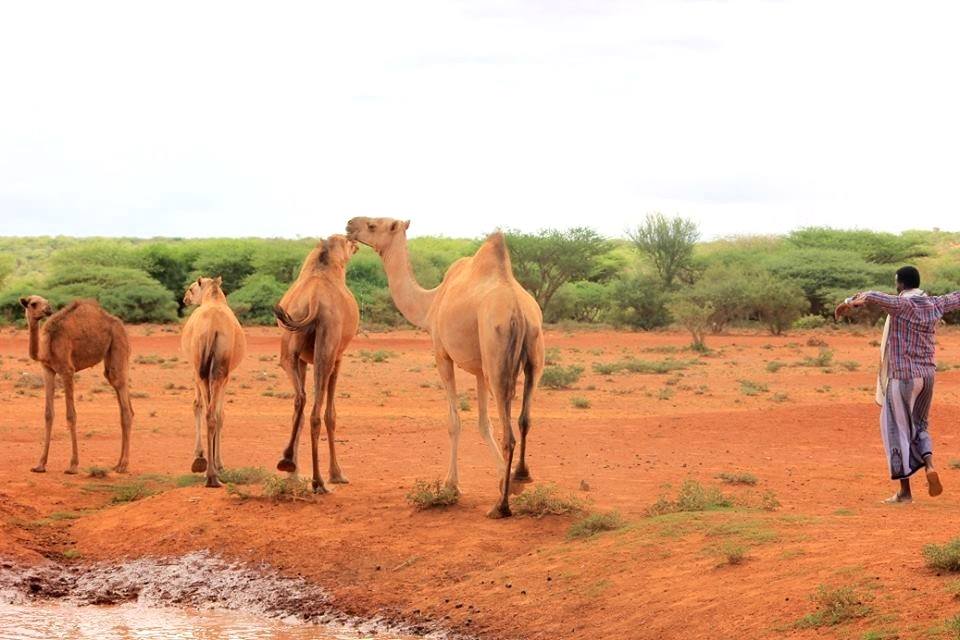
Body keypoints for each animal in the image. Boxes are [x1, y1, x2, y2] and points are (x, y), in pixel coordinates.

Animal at [20, 298, 135, 472]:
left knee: (123, 396)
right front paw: (40, 464)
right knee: (122, 402)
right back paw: (117, 463)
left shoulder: (67, 371)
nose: (48, 309)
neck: (48, 346)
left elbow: (71, 415)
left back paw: (123, 465)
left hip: (118, 343)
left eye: (46, 302)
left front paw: (73, 465)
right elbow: (48, 414)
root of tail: (118, 322)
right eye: (33, 303)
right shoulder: (48, 369)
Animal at [181, 278, 248, 488]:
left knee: (208, 412)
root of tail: (212, 328)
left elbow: (203, 407)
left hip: (203, 370)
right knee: (212, 413)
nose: (185, 299)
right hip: (217, 372)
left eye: (191, 288)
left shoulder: (201, 371)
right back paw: (212, 474)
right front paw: (217, 462)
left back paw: (209, 473)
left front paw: (202, 457)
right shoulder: (225, 376)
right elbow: (220, 414)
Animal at [274, 238, 360, 492]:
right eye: (347, 241)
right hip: (327, 349)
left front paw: (293, 473)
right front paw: (337, 474)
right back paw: (319, 481)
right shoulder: (338, 357)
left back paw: (287, 462)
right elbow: (331, 415)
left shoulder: (302, 359)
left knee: (300, 399)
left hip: (289, 350)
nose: (355, 242)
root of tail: (312, 301)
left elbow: (299, 412)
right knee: (315, 413)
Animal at [344, 218, 544, 516]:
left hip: (498, 357)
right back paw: (521, 477)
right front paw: (504, 480)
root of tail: (519, 310)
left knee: (509, 433)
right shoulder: (479, 368)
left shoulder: (442, 354)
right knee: (525, 419)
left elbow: (454, 421)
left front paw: (452, 486)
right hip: (533, 353)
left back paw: (501, 506)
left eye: (373, 225)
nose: (349, 224)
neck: (430, 303)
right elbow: (483, 423)